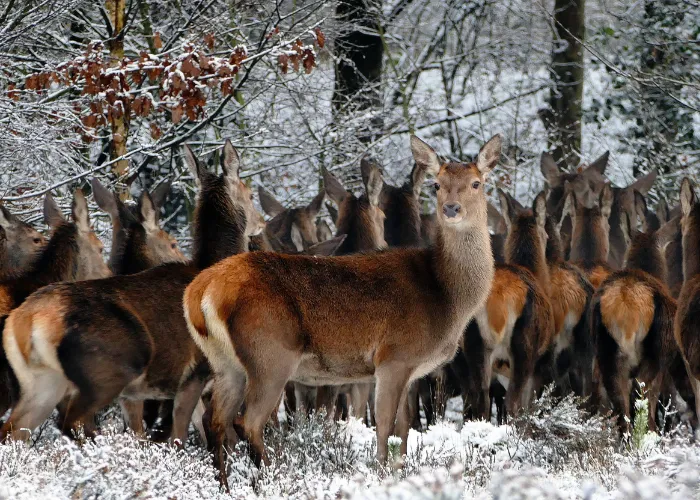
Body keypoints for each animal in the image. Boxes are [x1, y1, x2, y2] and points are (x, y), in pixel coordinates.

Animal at [0, 140, 262, 442]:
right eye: (250, 193)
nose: (262, 222)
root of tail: (30, 318)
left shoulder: (141, 394)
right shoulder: (195, 372)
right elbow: (181, 436)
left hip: (41, 382)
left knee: (13, 431)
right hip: (109, 368)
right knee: (73, 422)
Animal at [180, 135, 498, 486]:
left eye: (476, 183)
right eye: (437, 185)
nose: (451, 208)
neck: (446, 297)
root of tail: (199, 291)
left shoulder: (410, 369)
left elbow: (404, 429)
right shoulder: (394, 357)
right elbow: (384, 427)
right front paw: (382, 476)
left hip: (225, 363)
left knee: (215, 420)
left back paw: (225, 483)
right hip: (270, 353)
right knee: (246, 421)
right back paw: (272, 478)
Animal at [592, 189, 680, 432]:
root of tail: (625, 307)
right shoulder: (663, 363)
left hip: (606, 354)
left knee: (621, 412)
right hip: (650, 357)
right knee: (642, 404)